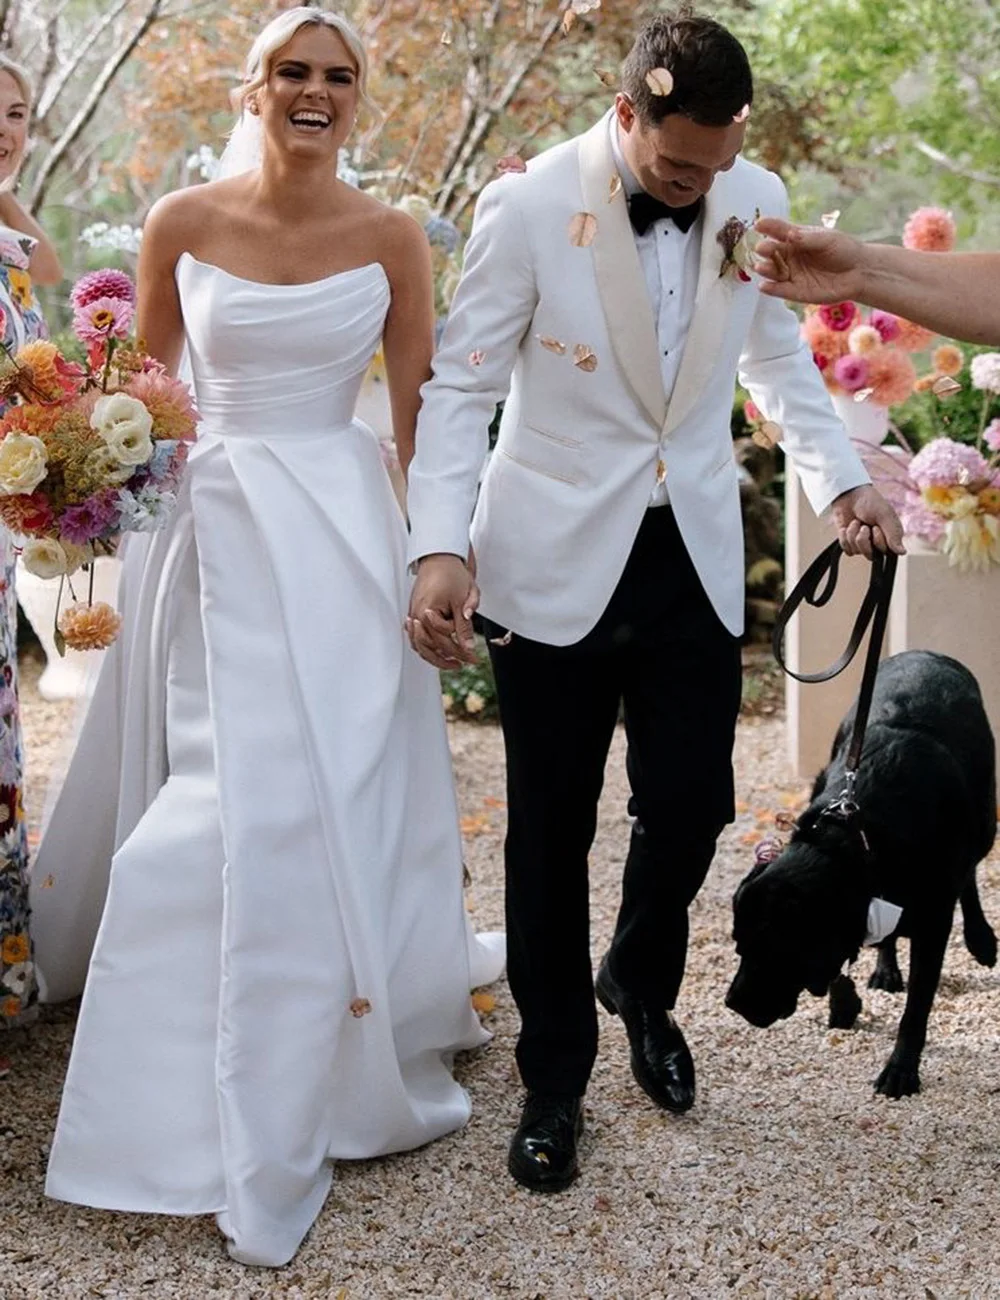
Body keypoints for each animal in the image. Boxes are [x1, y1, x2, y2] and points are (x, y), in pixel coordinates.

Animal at [728, 650, 988, 1097]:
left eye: (773, 948)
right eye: (739, 945)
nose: (733, 1003)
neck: (856, 835)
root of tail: (927, 653)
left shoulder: (934, 921)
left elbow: (916, 1009)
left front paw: (901, 1071)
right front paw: (845, 999)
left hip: (984, 821)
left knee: (970, 872)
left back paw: (981, 937)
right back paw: (885, 967)